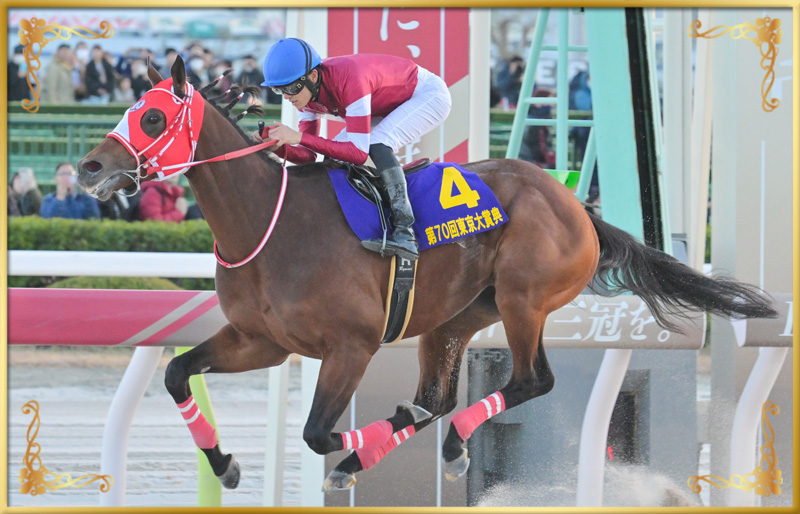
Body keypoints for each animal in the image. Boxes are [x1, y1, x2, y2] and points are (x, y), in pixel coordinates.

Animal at [76, 56, 777, 492]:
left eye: (153, 117)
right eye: (133, 108)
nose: (88, 168)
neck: (268, 224)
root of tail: (578, 205)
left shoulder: (351, 345)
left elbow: (317, 432)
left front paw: (351, 455)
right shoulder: (262, 342)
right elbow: (175, 373)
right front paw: (224, 466)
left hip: (524, 299)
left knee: (533, 380)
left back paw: (442, 441)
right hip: (458, 314)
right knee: (438, 396)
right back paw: (440, 438)